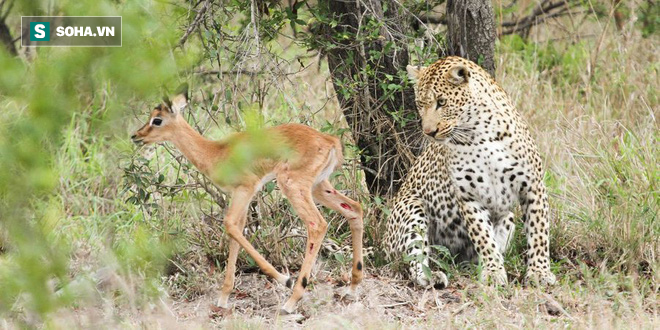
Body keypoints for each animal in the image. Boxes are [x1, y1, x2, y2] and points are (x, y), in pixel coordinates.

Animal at [384, 56, 556, 288]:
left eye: (442, 102)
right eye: (420, 104)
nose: (428, 132)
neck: (481, 134)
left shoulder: (533, 186)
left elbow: (539, 233)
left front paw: (539, 272)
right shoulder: (468, 196)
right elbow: (483, 237)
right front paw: (493, 272)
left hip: (508, 219)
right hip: (412, 207)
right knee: (414, 258)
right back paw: (432, 276)